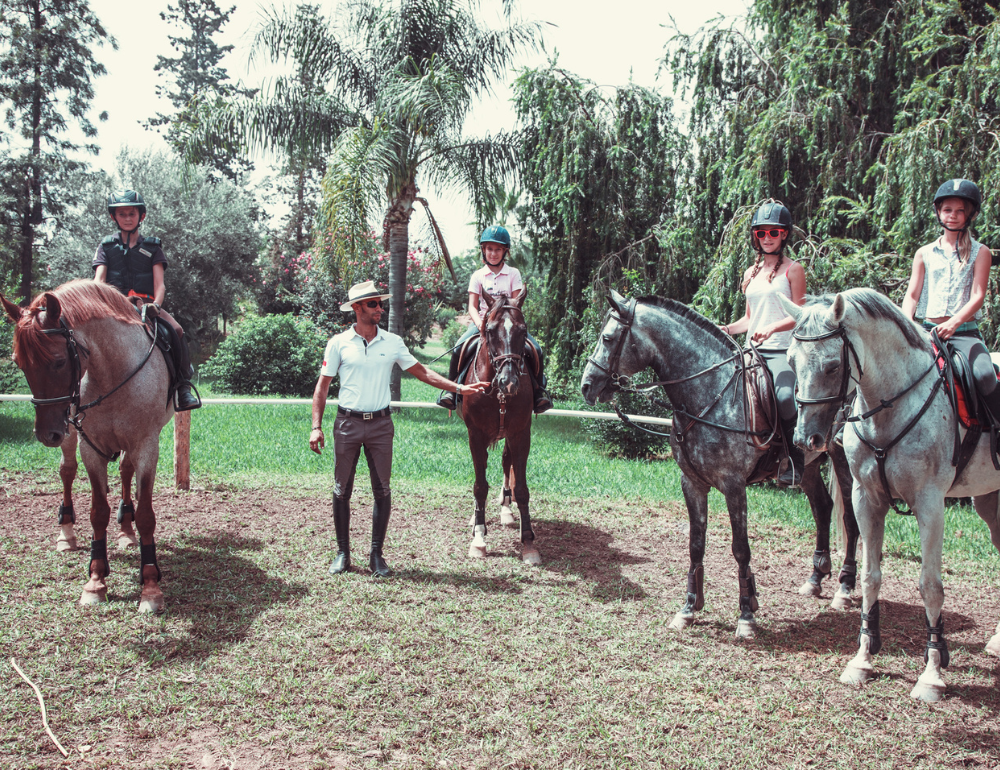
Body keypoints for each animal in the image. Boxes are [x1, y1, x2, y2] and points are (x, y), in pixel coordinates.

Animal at [3, 280, 174, 612]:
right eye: (19, 364)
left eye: (58, 362)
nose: (46, 434)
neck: (113, 374)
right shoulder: (89, 449)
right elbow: (98, 512)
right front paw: (96, 581)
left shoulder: (147, 445)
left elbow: (146, 514)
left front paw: (150, 586)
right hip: (70, 434)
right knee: (67, 471)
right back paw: (66, 534)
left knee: (125, 472)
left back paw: (126, 532)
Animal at [580, 288, 860, 636]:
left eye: (607, 338)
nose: (586, 386)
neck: (708, 394)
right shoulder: (692, 483)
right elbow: (695, 544)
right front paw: (689, 608)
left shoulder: (733, 485)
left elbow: (740, 548)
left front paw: (747, 614)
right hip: (807, 466)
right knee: (822, 508)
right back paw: (815, 579)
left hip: (844, 462)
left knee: (850, 520)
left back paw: (845, 589)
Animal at [780, 284, 1000, 700]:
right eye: (790, 360)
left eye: (832, 366)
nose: (805, 439)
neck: (892, 406)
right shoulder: (867, 500)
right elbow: (870, 577)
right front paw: (863, 659)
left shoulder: (930, 504)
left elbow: (930, 586)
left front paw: (932, 673)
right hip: (989, 501)